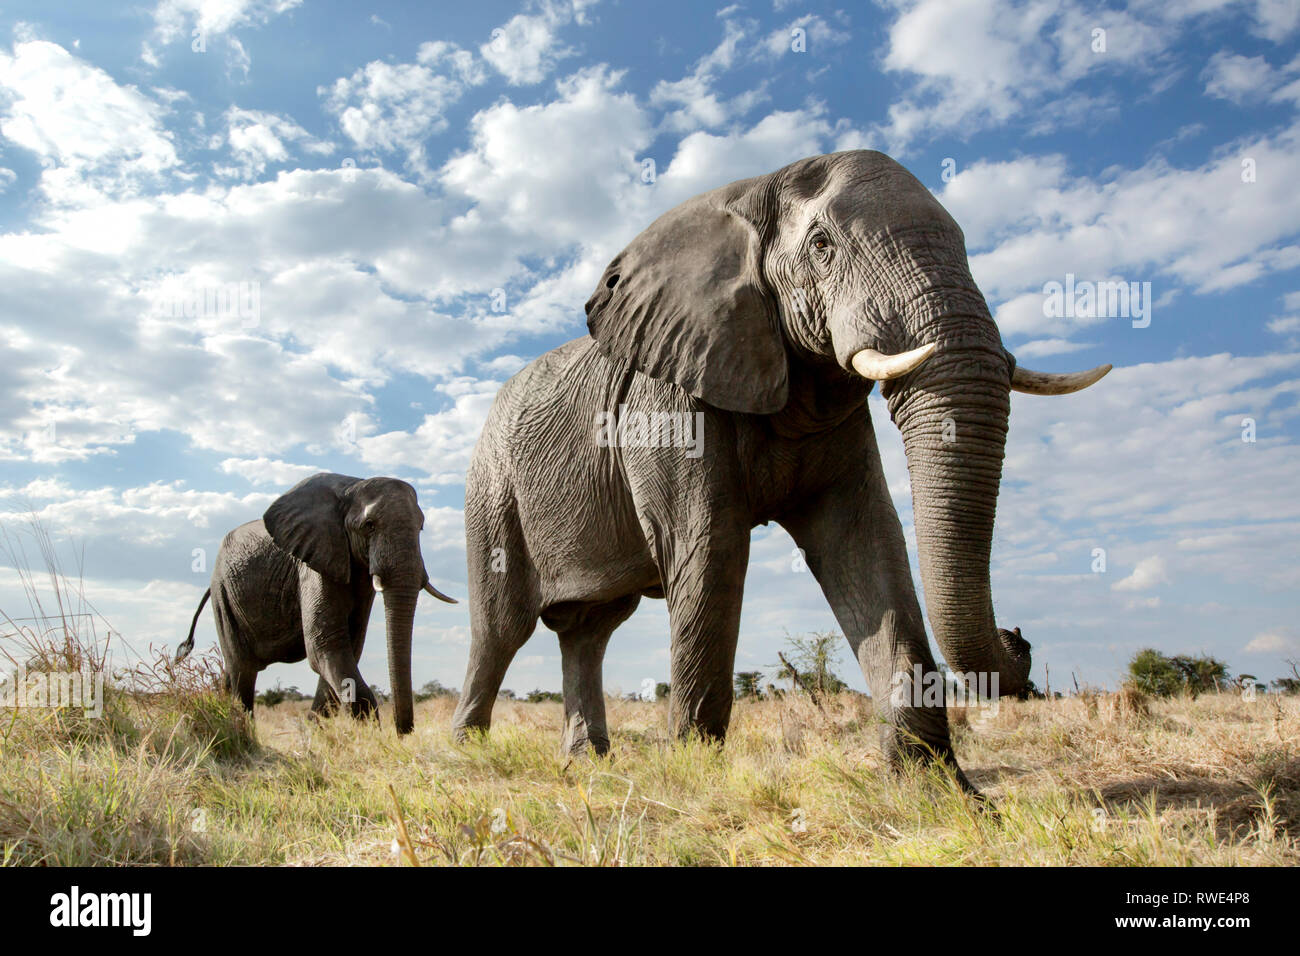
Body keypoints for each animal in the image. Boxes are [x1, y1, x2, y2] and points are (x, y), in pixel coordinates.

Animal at [175, 470, 454, 733]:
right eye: (369, 525)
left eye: (421, 527)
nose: (402, 733)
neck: (352, 487)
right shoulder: (313, 561)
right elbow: (325, 643)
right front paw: (367, 735)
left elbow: (349, 646)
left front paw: (313, 732)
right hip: (223, 593)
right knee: (242, 670)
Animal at [452, 149, 1112, 785]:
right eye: (822, 247)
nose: (1018, 638)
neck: (751, 192)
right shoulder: (669, 400)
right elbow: (710, 549)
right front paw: (697, 778)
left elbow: (864, 543)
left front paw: (938, 790)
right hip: (491, 493)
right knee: (501, 629)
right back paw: (467, 754)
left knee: (589, 630)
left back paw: (588, 764)